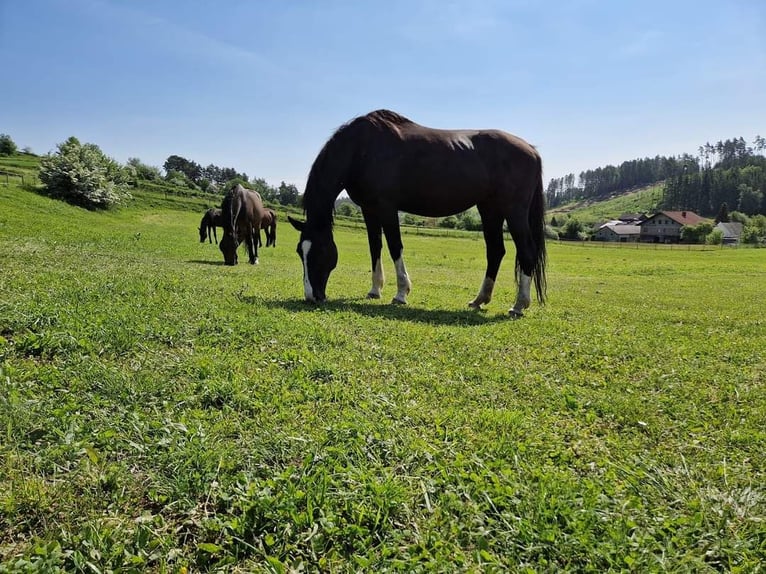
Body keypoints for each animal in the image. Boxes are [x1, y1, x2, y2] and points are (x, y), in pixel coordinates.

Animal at [288, 110, 544, 318]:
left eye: (321, 250)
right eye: (300, 251)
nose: (312, 296)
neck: (362, 148)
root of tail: (531, 150)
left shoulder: (387, 208)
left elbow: (395, 247)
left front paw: (401, 293)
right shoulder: (369, 210)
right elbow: (375, 248)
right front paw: (375, 290)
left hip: (514, 211)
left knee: (526, 252)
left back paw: (519, 305)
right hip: (490, 209)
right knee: (496, 252)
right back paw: (479, 300)